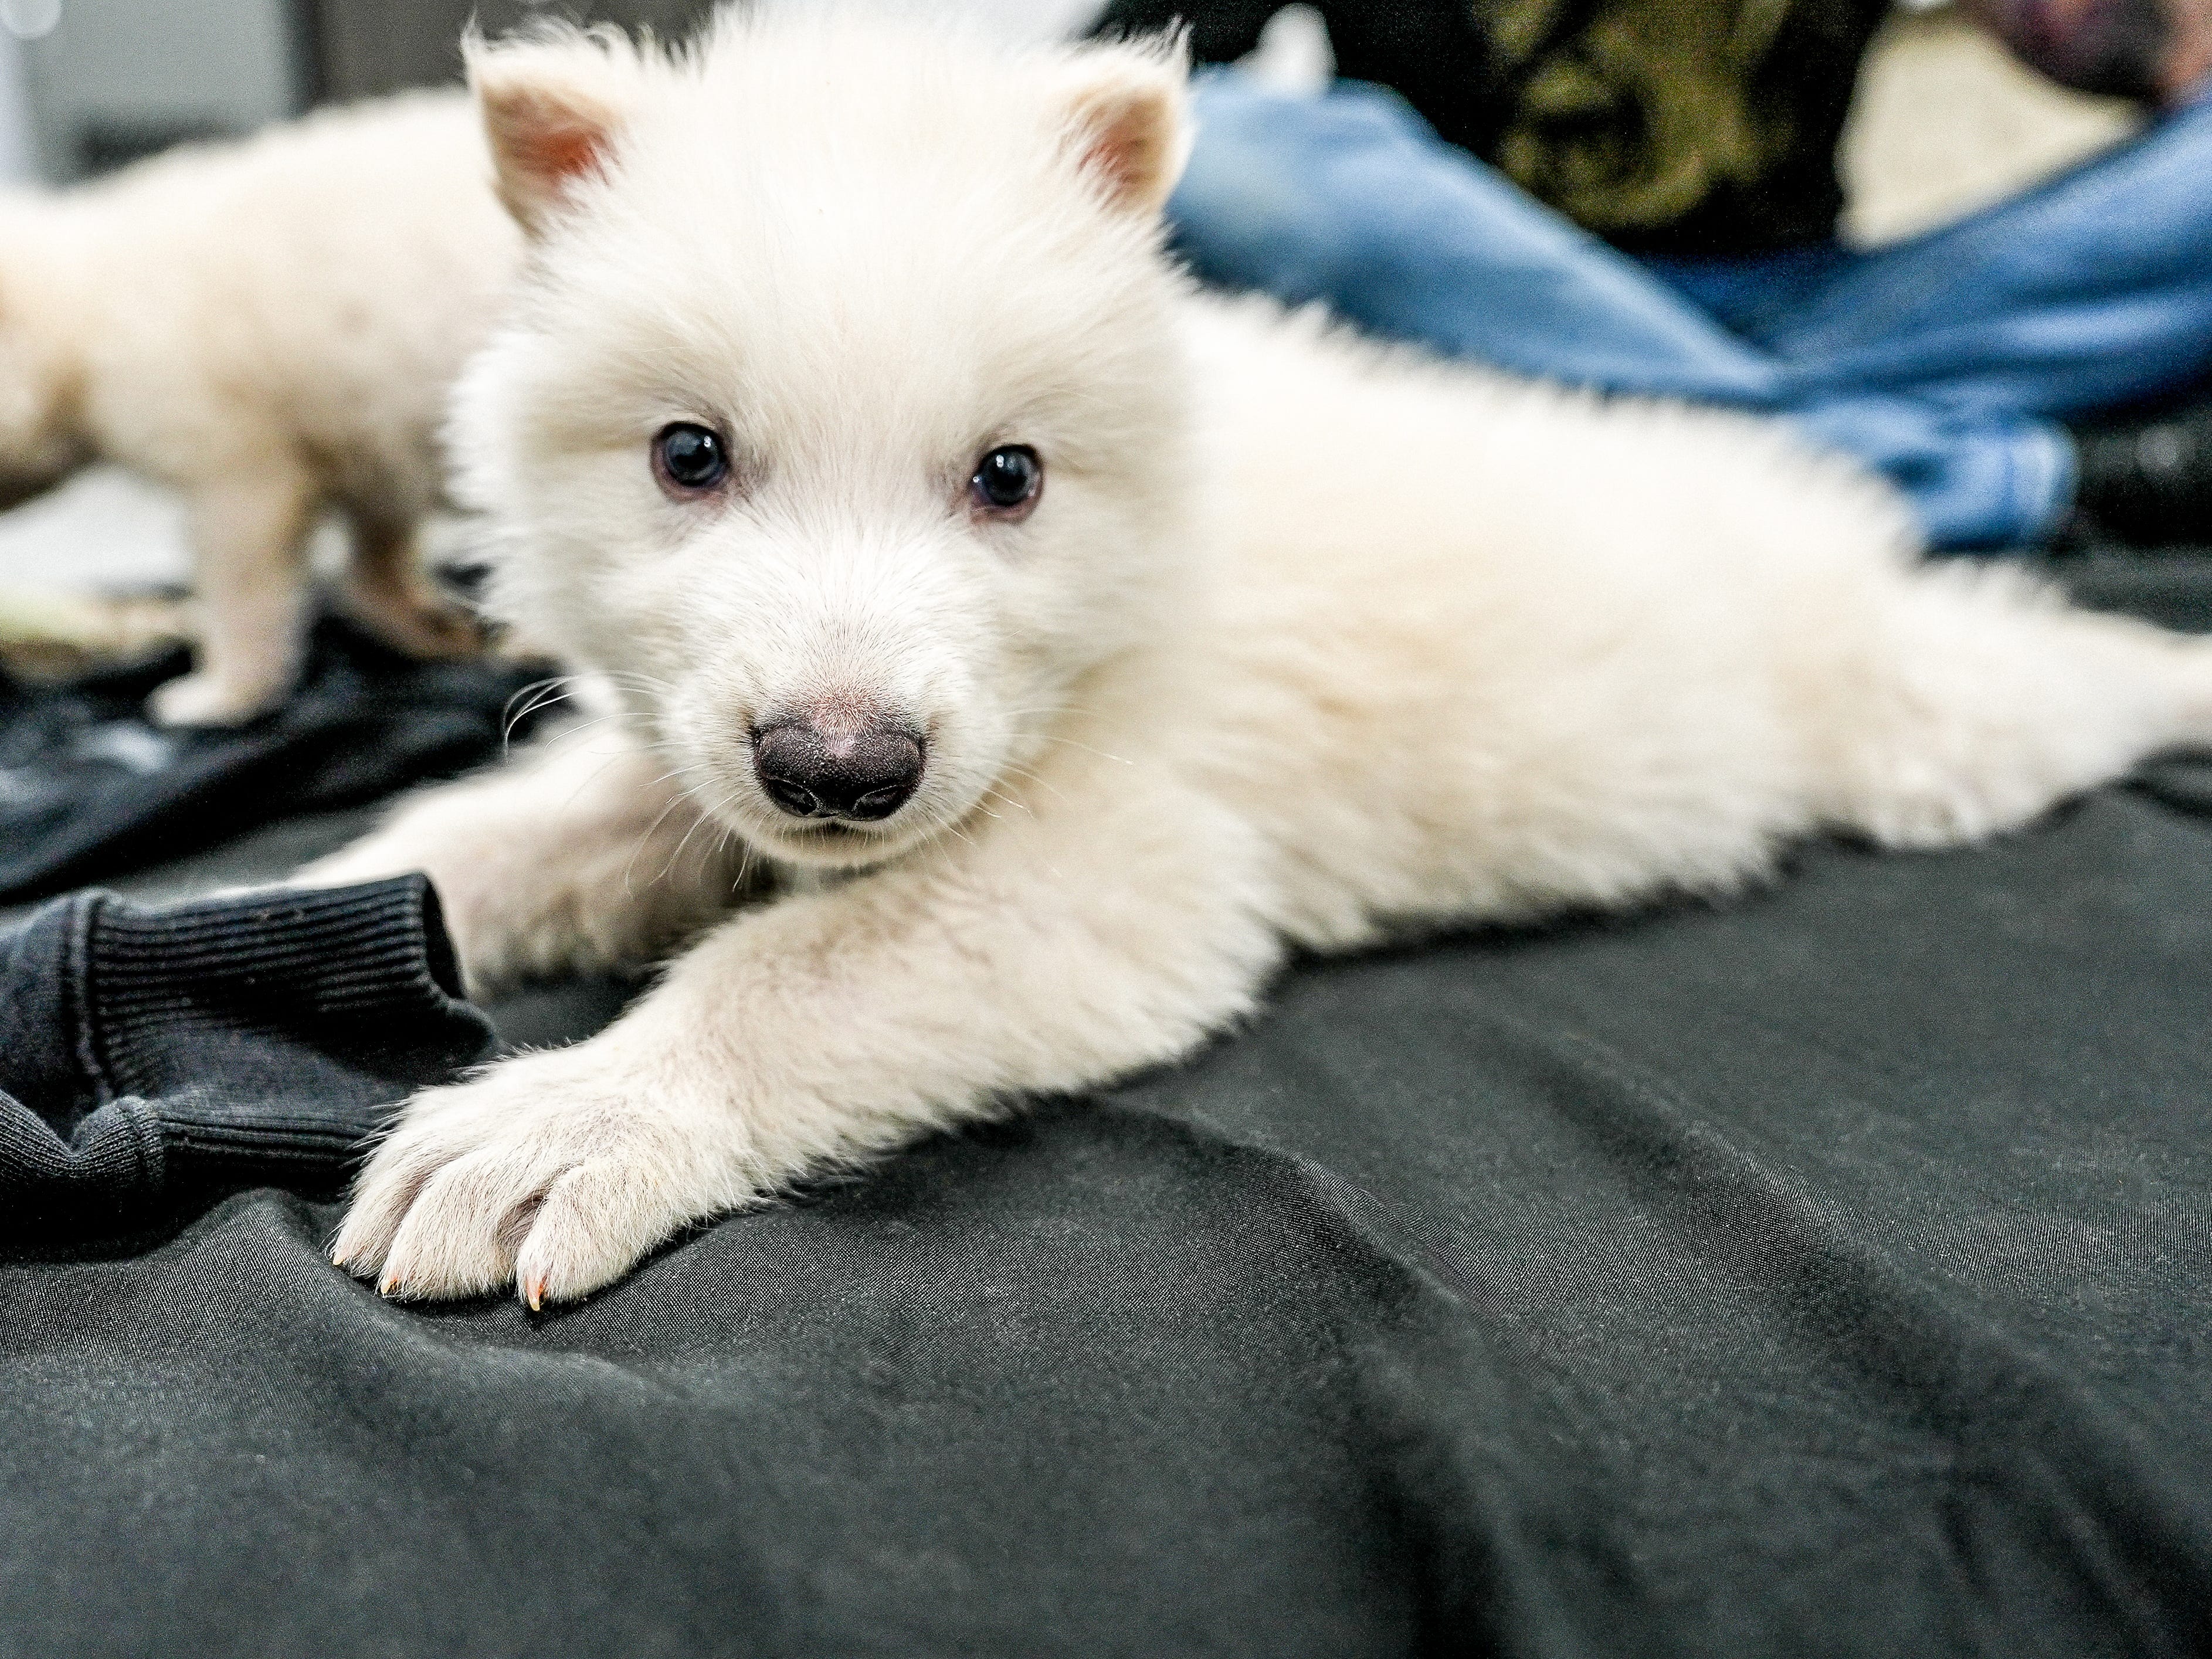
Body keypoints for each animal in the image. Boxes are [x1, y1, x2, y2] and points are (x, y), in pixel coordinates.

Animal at [307, 8, 2212, 1306]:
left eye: (1009, 476)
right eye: (687, 455)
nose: (841, 770)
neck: (1124, 608)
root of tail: (1827, 524)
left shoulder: (1130, 855)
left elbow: (806, 970)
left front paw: (565, 1123)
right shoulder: (693, 762)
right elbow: (499, 837)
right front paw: (299, 908)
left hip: (1917, 717)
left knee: (2051, 671)